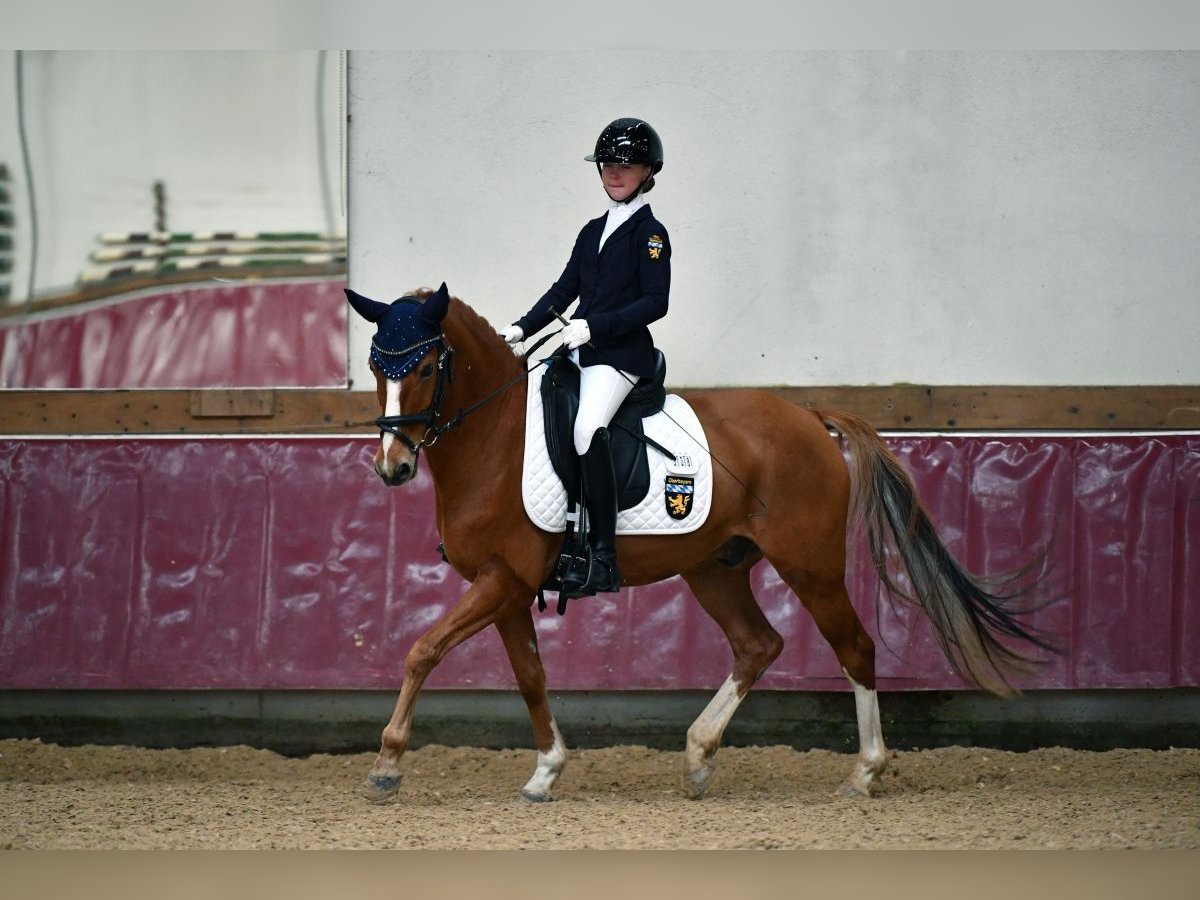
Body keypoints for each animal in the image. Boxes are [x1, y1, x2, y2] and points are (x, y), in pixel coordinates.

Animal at [345, 283, 1051, 801]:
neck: (493, 436)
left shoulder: (502, 581)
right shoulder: (510, 590)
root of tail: (810, 418)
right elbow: (530, 677)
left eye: (427, 366)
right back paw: (699, 755)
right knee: (757, 644)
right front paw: (546, 771)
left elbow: (422, 651)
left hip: (810, 566)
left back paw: (864, 772)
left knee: (854, 647)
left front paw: (387, 763)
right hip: (714, 568)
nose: (392, 468)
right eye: (378, 366)